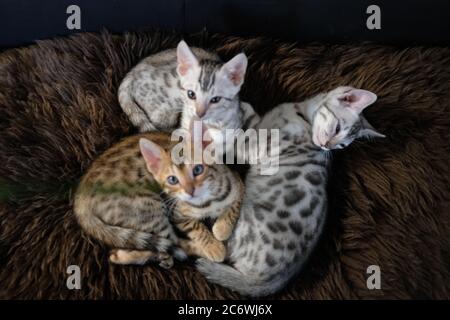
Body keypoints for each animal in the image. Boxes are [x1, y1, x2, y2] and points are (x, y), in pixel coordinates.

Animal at [195, 86, 384, 296]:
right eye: (337, 131)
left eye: (341, 145)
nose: (326, 146)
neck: (301, 114)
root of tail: (270, 281)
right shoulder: (260, 125)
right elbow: (251, 116)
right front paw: (240, 105)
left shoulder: (255, 149)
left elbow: (235, 135)